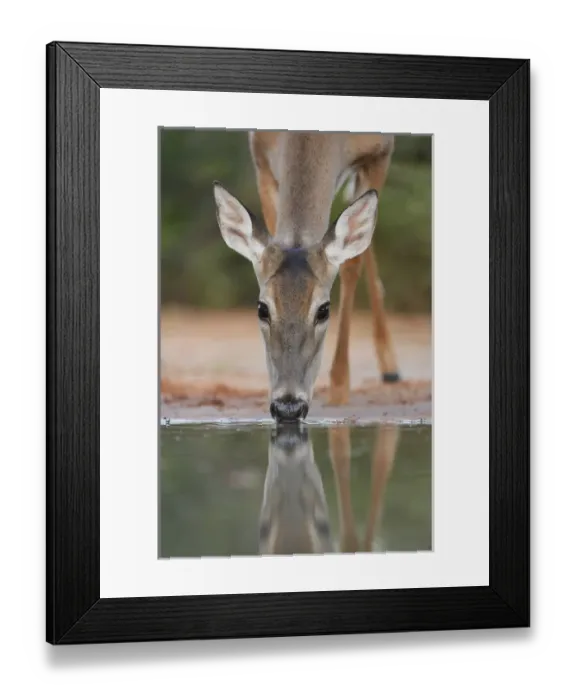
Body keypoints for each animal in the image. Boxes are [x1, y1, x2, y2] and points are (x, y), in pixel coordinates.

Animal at [213, 130, 400, 424]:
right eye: (262, 308)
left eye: (324, 310)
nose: (288, 407)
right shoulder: (261, 154)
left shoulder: (380, 152)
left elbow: (352, 263)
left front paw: (339, 387)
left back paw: (390, 367)